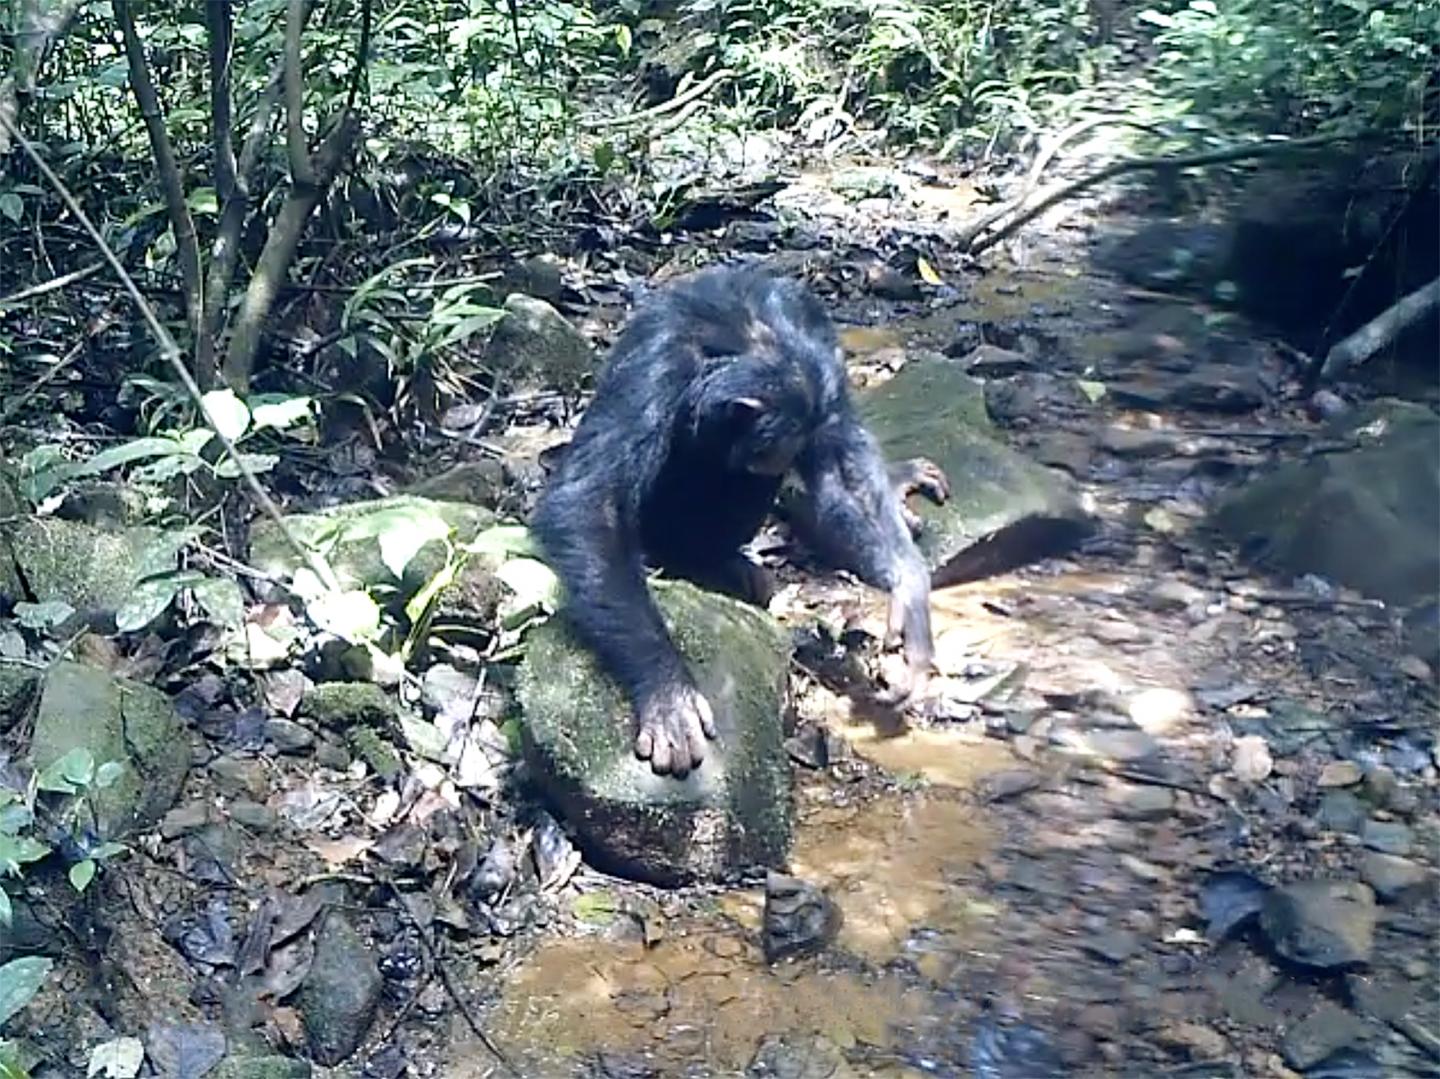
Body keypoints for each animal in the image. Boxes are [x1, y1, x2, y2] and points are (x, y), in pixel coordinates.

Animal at [535, 265, 950, 777]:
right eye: (772, 452)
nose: (777, 461)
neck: (752, 338)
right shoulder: (656, 365)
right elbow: (595, 500)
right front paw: (669, 696)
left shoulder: (827, 382)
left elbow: (843, 478)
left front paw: (910, 601)